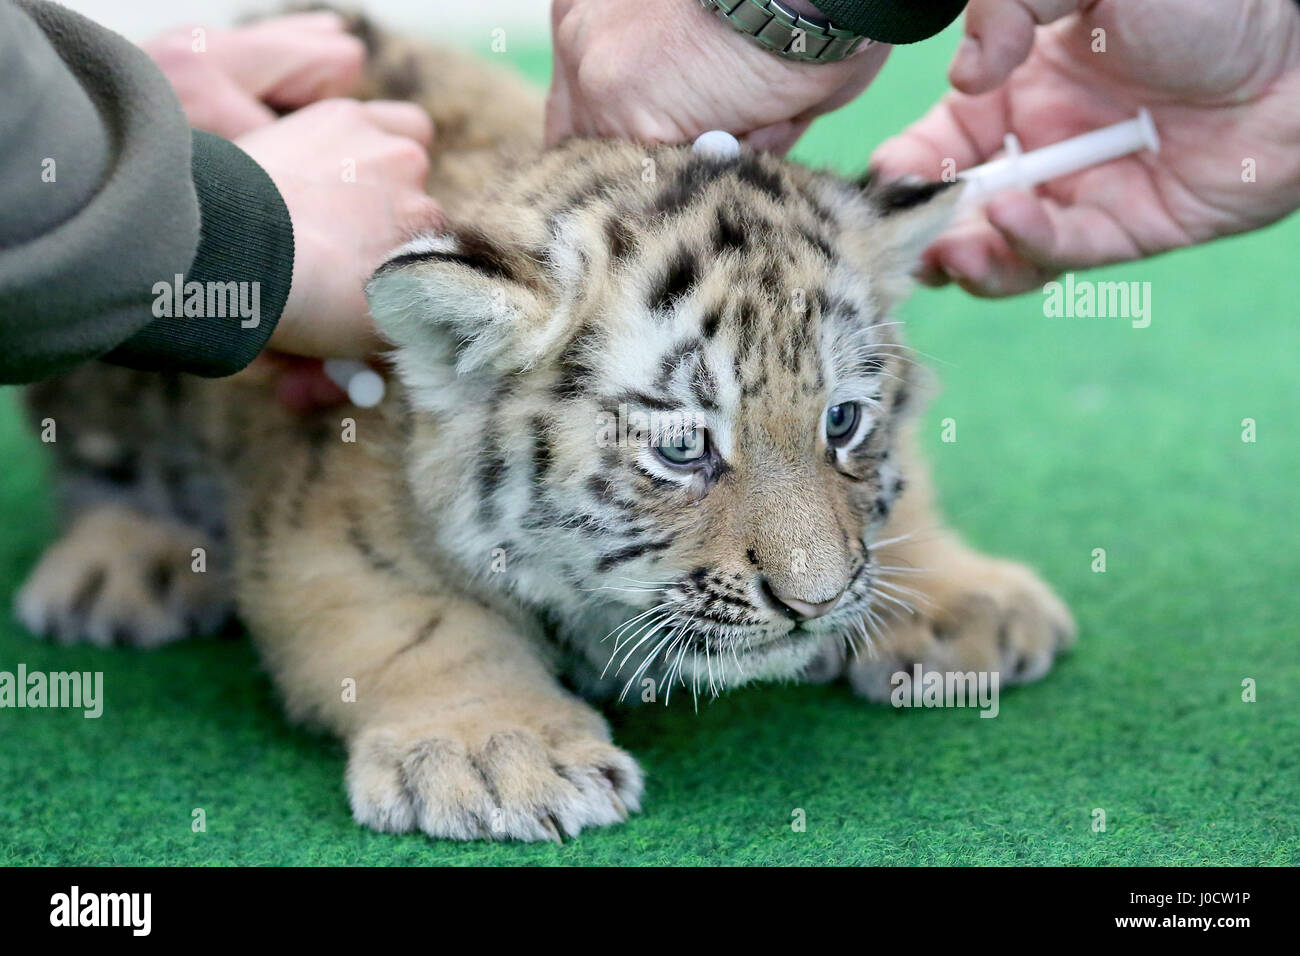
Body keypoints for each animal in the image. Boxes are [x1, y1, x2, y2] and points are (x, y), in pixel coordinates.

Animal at [15, 14, 1075, 842]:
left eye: (843, 421)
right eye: (682, 447)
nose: (813, 606)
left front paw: (964, 597)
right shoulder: (319, 515)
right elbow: (414, 620)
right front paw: (499, 750)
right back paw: (125, 566)